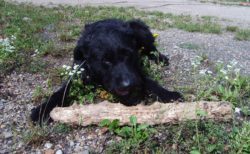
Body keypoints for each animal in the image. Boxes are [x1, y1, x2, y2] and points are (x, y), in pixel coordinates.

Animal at [30, 18, 183, 123]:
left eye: (128, 55)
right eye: (106, 61)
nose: (128, 85)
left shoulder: (136, 71)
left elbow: (148, 81)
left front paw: (168, 94)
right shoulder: (80, 73)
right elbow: (63, 90)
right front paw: (43, 109)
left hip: (140, 29)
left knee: (151, 48)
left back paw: (160, 58)